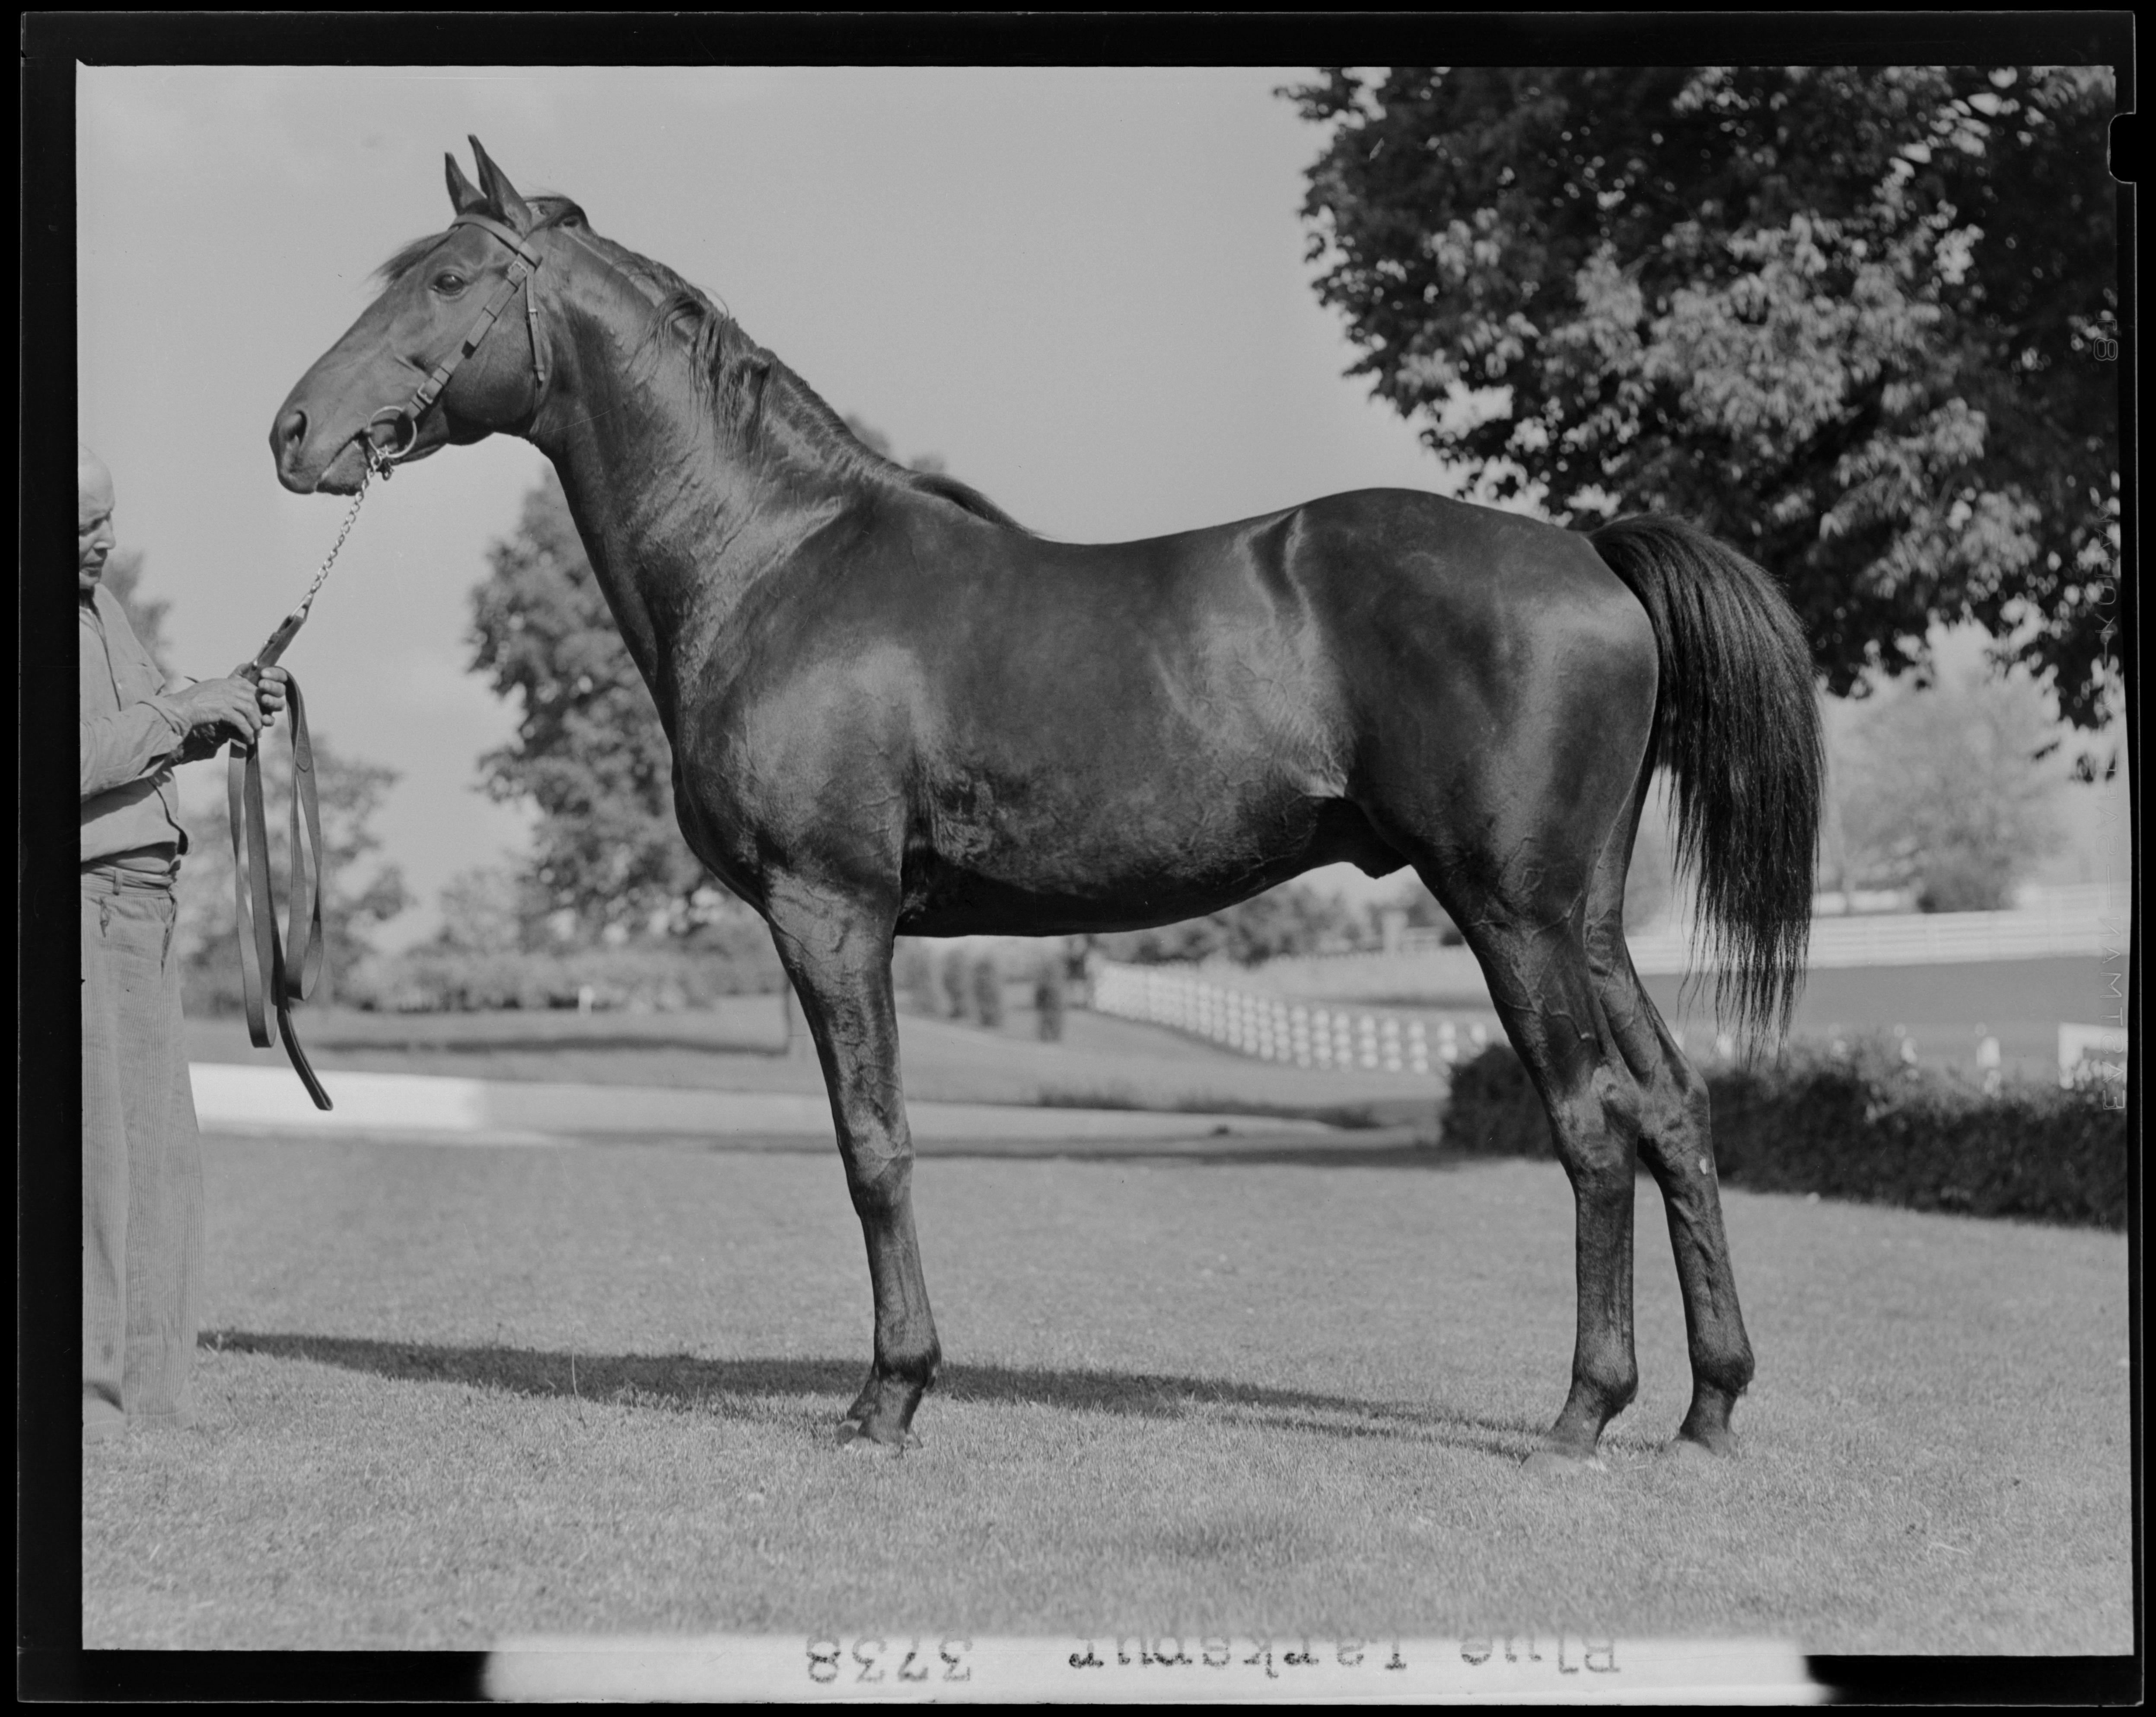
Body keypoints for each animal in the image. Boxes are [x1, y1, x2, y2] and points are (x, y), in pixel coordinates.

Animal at [274, 141, 1819, 1467]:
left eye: (448, 282)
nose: (292, 432)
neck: (772, 561)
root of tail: (1588, 555)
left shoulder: (831, 914)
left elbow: (874, 1145)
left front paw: (889, 1397)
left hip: (1514, 914)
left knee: (1593, 1120)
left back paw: (1582, 1411)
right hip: (1588, 917)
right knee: (1674, 1110)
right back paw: (1708, 1408)